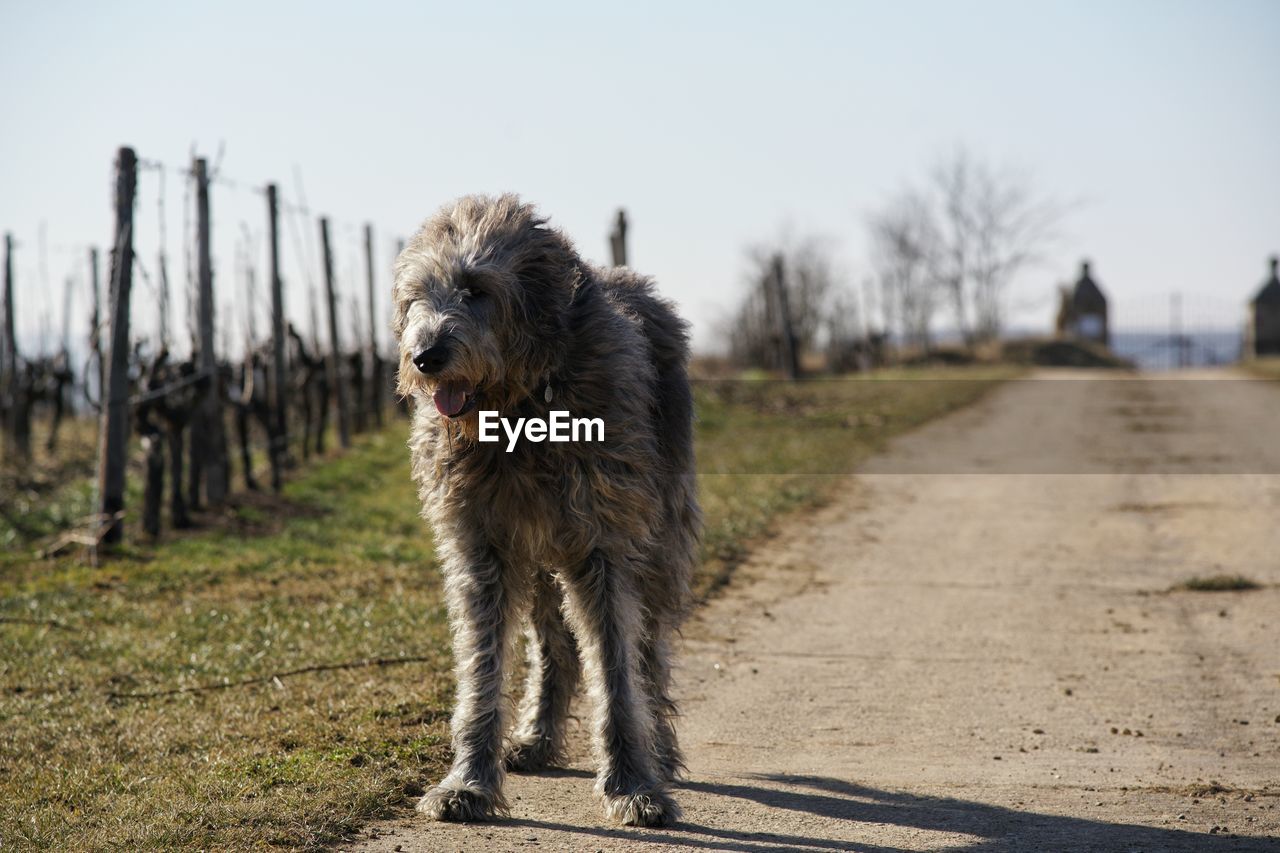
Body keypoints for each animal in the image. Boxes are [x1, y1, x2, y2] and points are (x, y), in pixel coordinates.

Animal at [394, 194, 706, 824]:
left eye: (477, 289)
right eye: (417, 295)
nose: (425, 356)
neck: (519, 409)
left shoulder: (601, 540)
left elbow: (615, 666)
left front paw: (632, 784)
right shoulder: (480, 545)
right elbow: (482, 664)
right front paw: (468, 782)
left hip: (659, 534)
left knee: (648, 645)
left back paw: (659, 746)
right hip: (539, 553)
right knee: (555, 647)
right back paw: (536, 737)